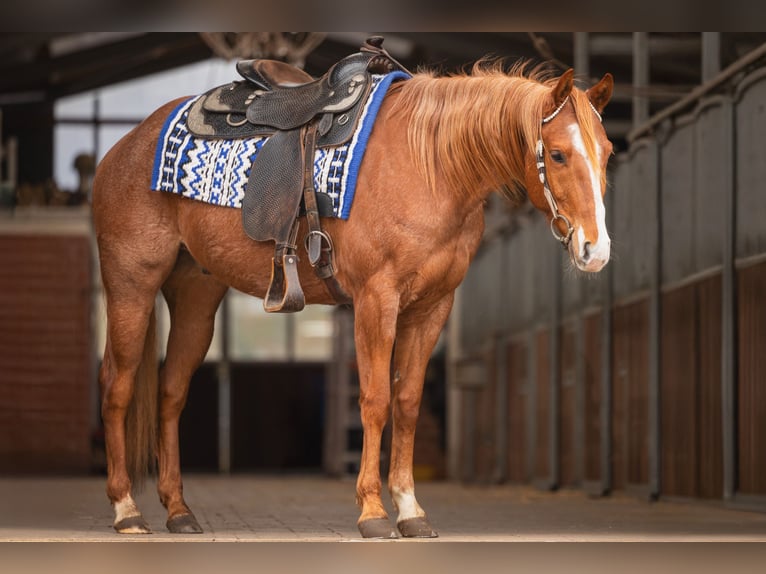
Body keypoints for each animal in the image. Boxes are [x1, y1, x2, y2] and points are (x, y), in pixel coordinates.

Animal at [91, 53, 616, 540]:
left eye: (608, 152)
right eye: (558, 154)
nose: (597, 250)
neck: (431, 166)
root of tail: (126, 146)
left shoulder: (433, 307)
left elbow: (407, 402)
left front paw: (410, 509)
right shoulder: (376, 300)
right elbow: (376, 400)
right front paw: (373, 512)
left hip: (196, 297)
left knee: (170, 393)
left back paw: (178, 511)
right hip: (132, 284)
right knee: (117, 384)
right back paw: (126, 510)